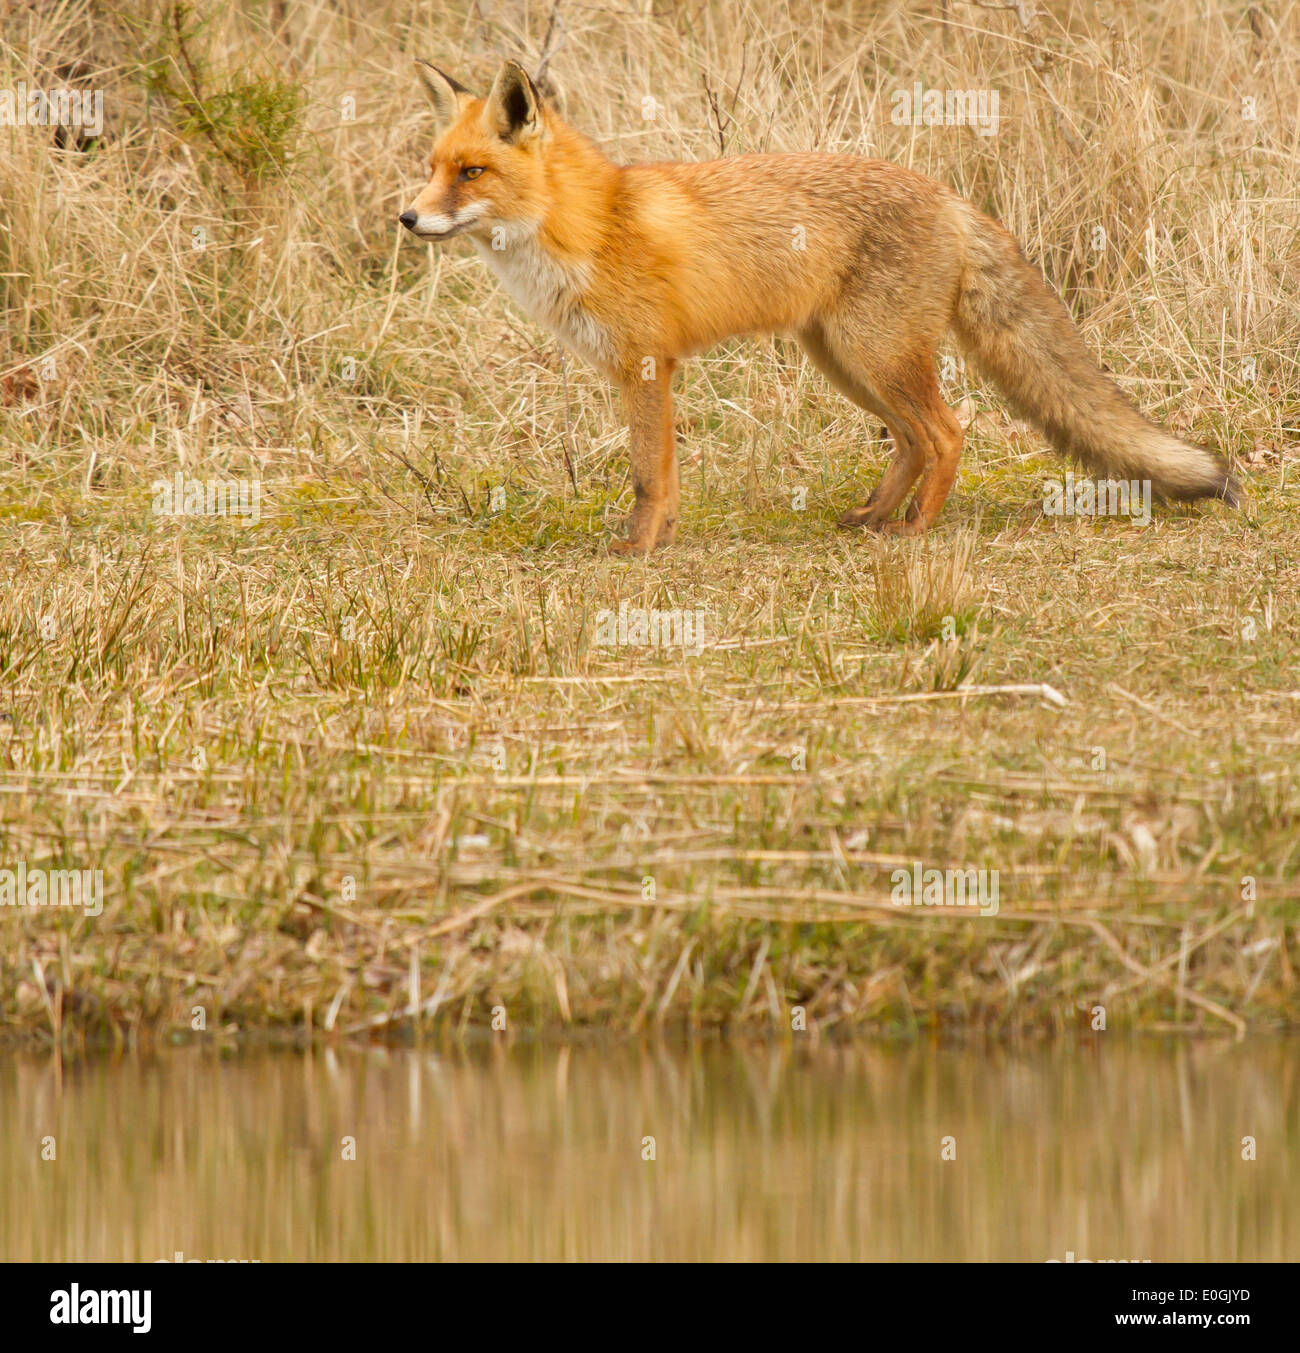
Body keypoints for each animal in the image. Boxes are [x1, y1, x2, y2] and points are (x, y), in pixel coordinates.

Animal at [397, 58, 1239, 554]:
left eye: (471, 173)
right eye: (433, 169)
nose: (407, 218)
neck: (592, 224)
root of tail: (950, 197)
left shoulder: (645, 365)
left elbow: (647, 475)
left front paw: (636, 549)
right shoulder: (653, 369)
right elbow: (664, 472)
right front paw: (661, 540)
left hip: (875, 356)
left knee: (948, 432)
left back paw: (915, 529)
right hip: (843, 360)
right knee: (913, 441)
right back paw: (872, 517)